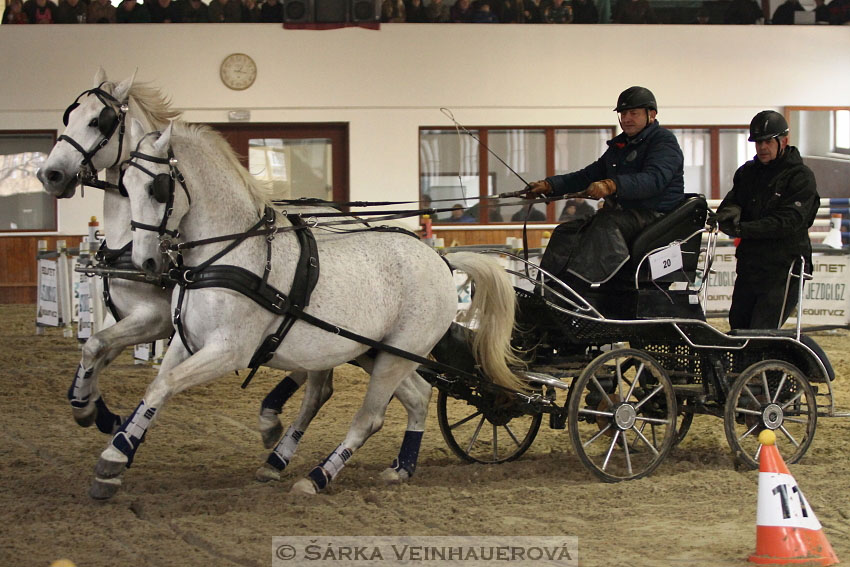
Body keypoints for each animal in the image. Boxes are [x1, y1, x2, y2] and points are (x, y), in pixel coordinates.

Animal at [91, 120, 524, 496]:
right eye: (124, 187)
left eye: (158, 187)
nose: (146, 262)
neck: (225, 255)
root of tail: (443, 261)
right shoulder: (187, 342)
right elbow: (156, 387)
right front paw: (118, 452)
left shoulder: (228, 350)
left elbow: (166, 385)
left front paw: (111, 459)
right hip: (378, 353)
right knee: (417, 396)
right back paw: (401, 468)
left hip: (398, 354)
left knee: (369, 418)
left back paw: (317, 477)